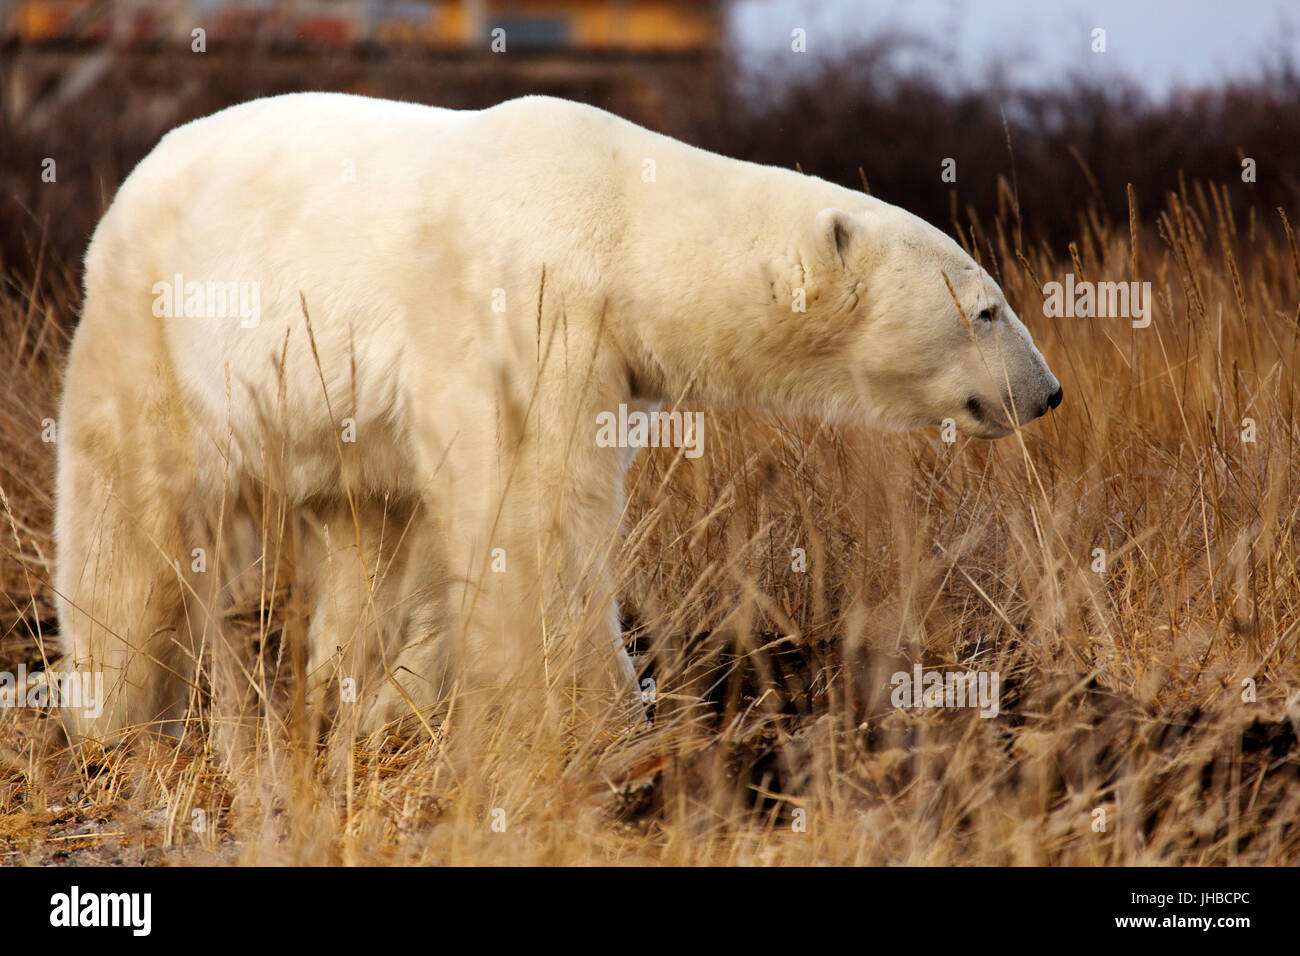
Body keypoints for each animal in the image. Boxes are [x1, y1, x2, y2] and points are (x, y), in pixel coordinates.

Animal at [55, 93, 1060, 743]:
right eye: (986, 308)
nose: (1046, 392)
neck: (624, 220)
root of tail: (136, 173)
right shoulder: (530, 310)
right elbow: (534, 515)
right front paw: (608, 720)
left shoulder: (609, 358)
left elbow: (465, 530)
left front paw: (399, 701)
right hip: (155, 323)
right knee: (132, 509)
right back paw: (115, 712)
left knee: (363, 527)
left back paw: (343, 682)